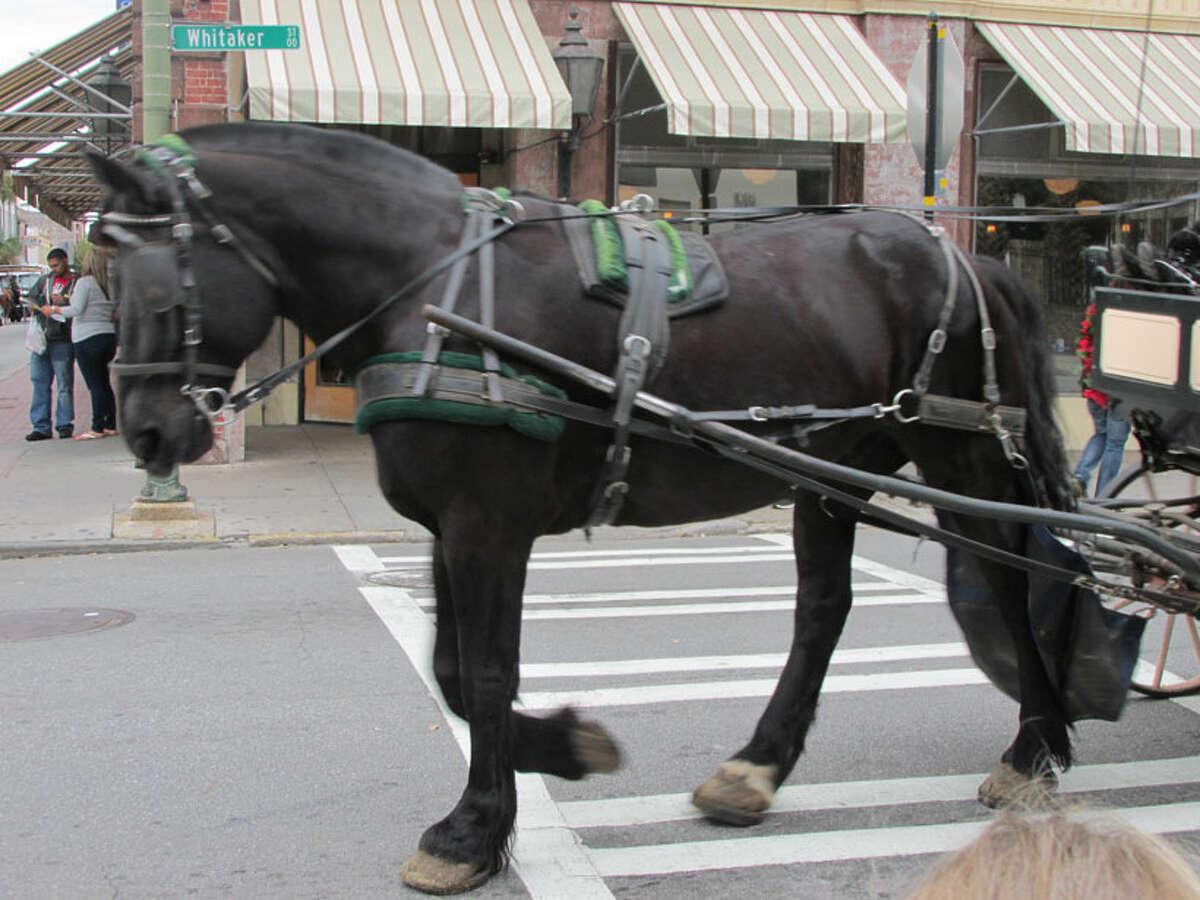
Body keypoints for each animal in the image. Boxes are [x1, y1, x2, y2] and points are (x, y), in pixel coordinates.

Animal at [88, 123, 1075, 897]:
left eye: (156, 286)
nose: (143, 432)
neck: (432, 288)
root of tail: (973, 255)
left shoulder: (489, 521)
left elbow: (487, 675)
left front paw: (475, 829)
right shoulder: (448, 523)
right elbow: (450, 671)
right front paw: (563, 751)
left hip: (960, 456)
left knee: (1014, 578)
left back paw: (1036, 747)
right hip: (831, 471)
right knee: (824, 609)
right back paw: (758, 767)